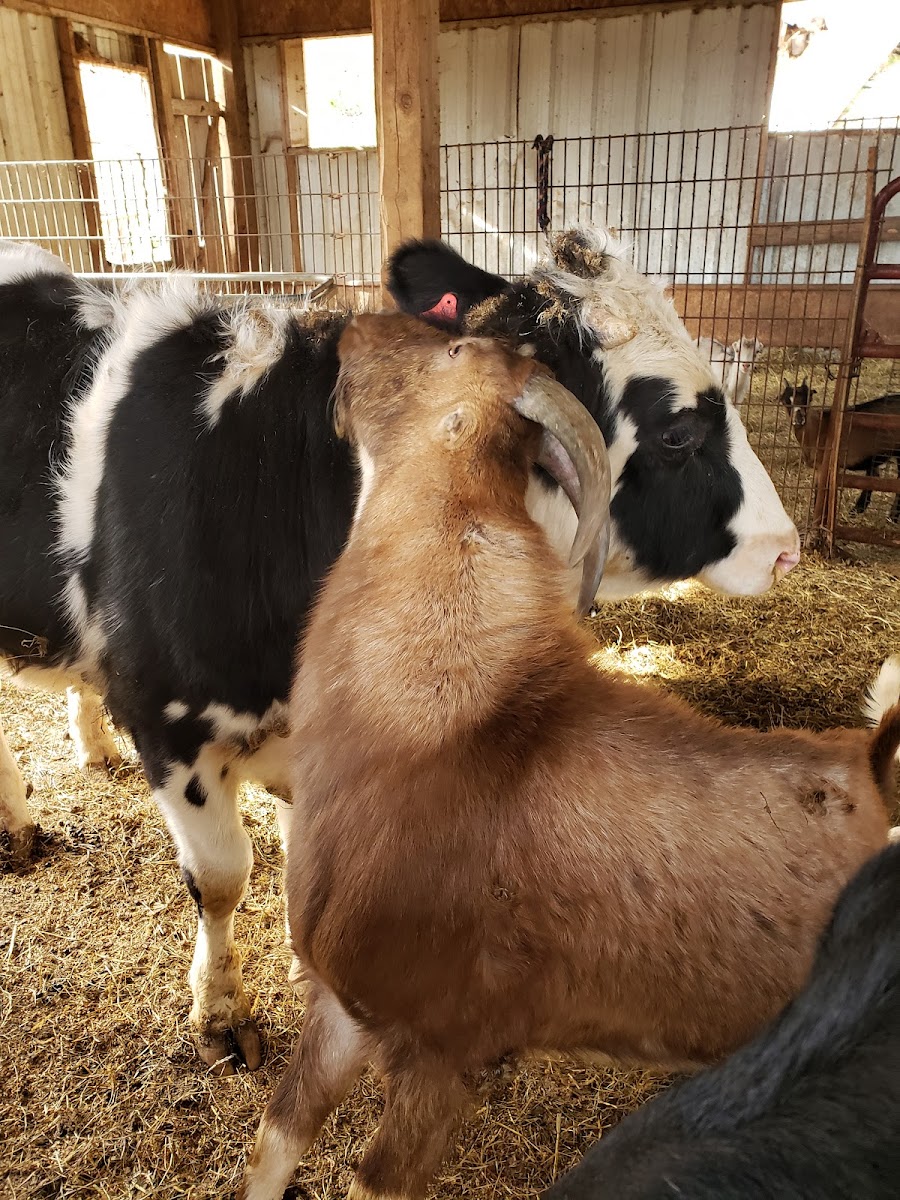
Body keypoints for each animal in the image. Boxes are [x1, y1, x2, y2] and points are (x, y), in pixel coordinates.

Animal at [780, 381, 900, 522]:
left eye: (807, 399)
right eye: (786, 401)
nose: (798, 420)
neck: (819, 428)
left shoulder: (823, 465)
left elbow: (820, 492)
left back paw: (891, 516)